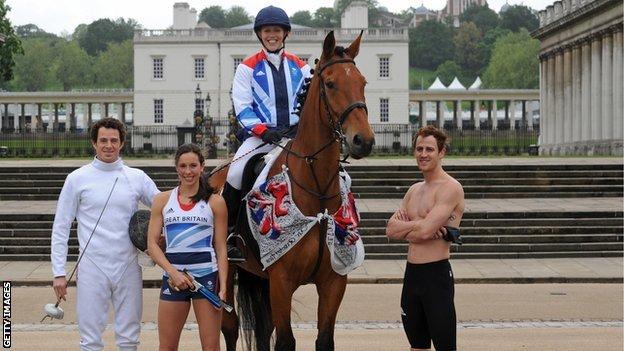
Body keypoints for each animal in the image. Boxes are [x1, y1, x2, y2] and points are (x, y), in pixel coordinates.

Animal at [210, 31, 376, 351]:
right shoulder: (282, 281)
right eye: (330, 83)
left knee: (262, 329)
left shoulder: (333, 281)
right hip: (230, 269)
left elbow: (323, 339)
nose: (363, 140)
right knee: (230, 326)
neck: (317, 196)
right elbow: (285, 341)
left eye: (362, 82)